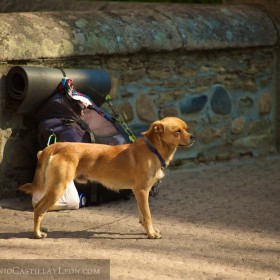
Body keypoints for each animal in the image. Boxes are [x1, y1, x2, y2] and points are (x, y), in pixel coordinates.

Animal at [18, 116, 195, 238]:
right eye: (177, 131)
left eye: (186, 128)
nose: (193, 137)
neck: (153, 149)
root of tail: (56, 146)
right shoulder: (142, 191)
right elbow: (148, 215)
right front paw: (151, 234)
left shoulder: (139, 193)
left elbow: (142, 215)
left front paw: (146, 230)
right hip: (58, 187)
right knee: (39, 209)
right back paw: (37, 234)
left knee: (38, 207)